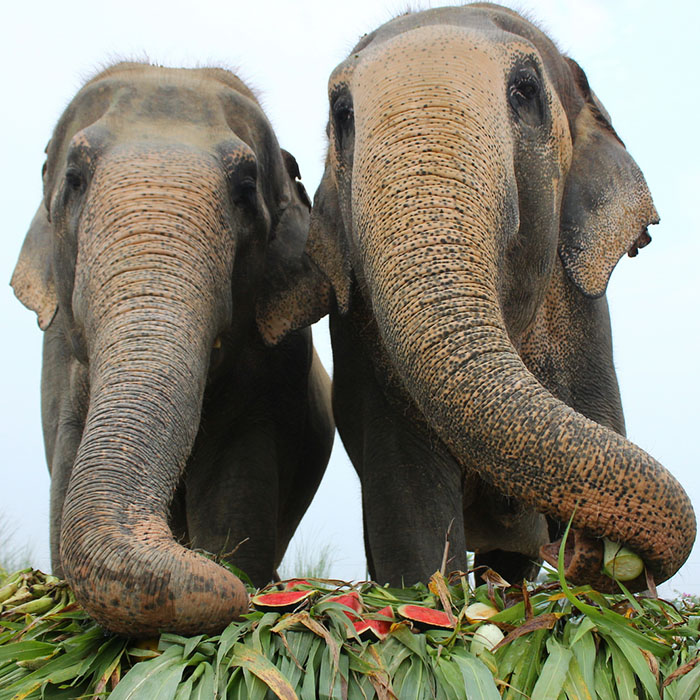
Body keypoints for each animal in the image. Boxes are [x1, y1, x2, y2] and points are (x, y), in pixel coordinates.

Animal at [11, 62, 334, 637]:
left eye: (245, 188)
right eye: (74, 179)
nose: (235, 592)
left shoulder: (270, 374)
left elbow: (232, 497)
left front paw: (231, 566)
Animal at [263, 4, 696, 591]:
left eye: (526, 90)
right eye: (342, 112)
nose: (582, 545)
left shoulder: (583, 317)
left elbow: (597, 415)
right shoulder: (360, 336)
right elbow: (408, 492)